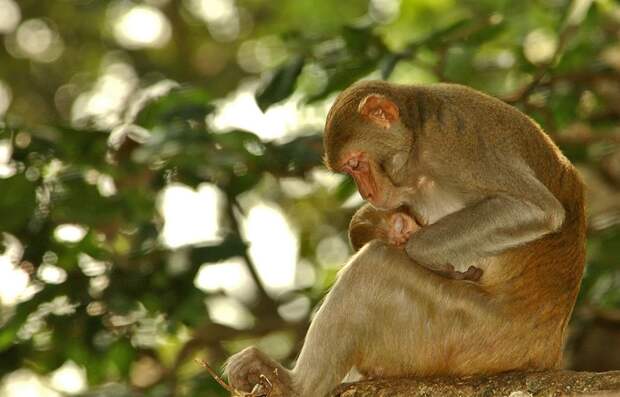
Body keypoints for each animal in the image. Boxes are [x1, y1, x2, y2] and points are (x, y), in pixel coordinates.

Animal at [226, 80, 588, 396]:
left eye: (356, 164)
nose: (366, 191)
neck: (417, 134)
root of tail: (546, 351)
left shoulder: (457, 145)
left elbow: (536, 209)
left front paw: (423, 252)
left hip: (473, 335)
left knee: (373, 266)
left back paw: (295, 386)